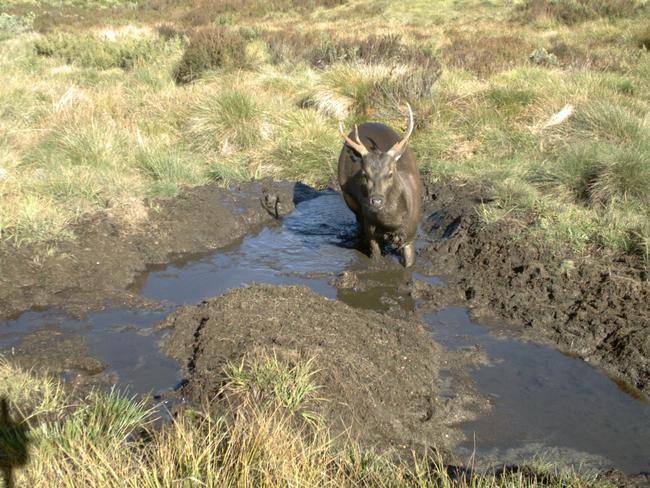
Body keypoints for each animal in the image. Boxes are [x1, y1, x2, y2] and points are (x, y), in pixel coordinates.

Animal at [336, 103, 422, 268]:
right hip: (350, 201)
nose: (376, 200)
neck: (391, 224)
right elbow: (375, 258)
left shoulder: (410, 235)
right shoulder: (371, 231)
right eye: (364, 174)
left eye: (390, 173)